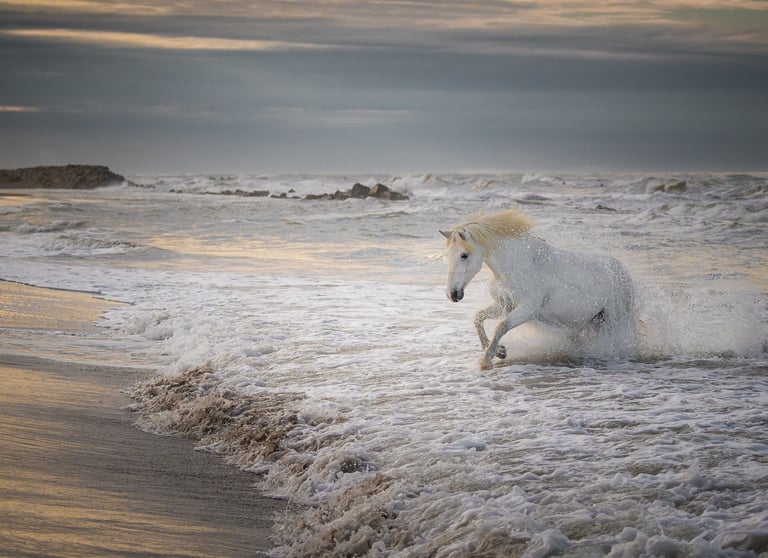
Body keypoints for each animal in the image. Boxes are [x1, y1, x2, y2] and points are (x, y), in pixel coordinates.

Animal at [441, 209, 636, 368]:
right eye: (448, 255)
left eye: (464, 255)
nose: (453, 294)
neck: (516, 266)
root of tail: (623, 271)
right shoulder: (504, 305)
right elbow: (478, 318)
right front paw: (499, 351)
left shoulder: (527, 310)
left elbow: (501, 327)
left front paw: (487, 360)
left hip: (613, 320)